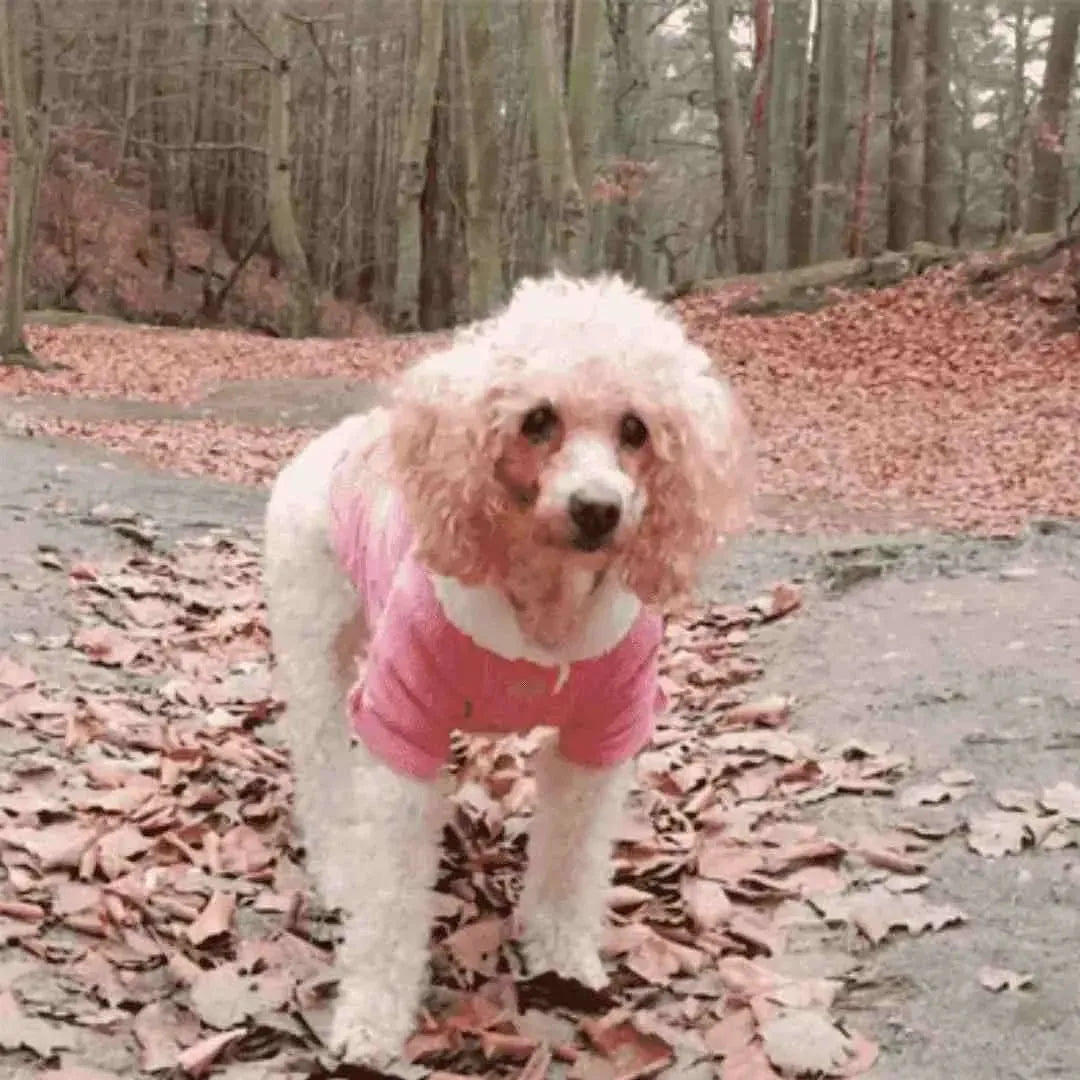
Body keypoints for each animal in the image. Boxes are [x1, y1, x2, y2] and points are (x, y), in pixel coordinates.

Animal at [261, 272, 751, 1062]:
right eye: (538, 420)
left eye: (636, 430)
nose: (597, 510)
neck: (544, 601)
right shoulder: (405, 718)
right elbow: (389, 895)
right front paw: (372, 1019)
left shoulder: (603, 730)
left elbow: (571, 860)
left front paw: (562, 957)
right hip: (314, 646)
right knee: (323, 763)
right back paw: (337, 863)